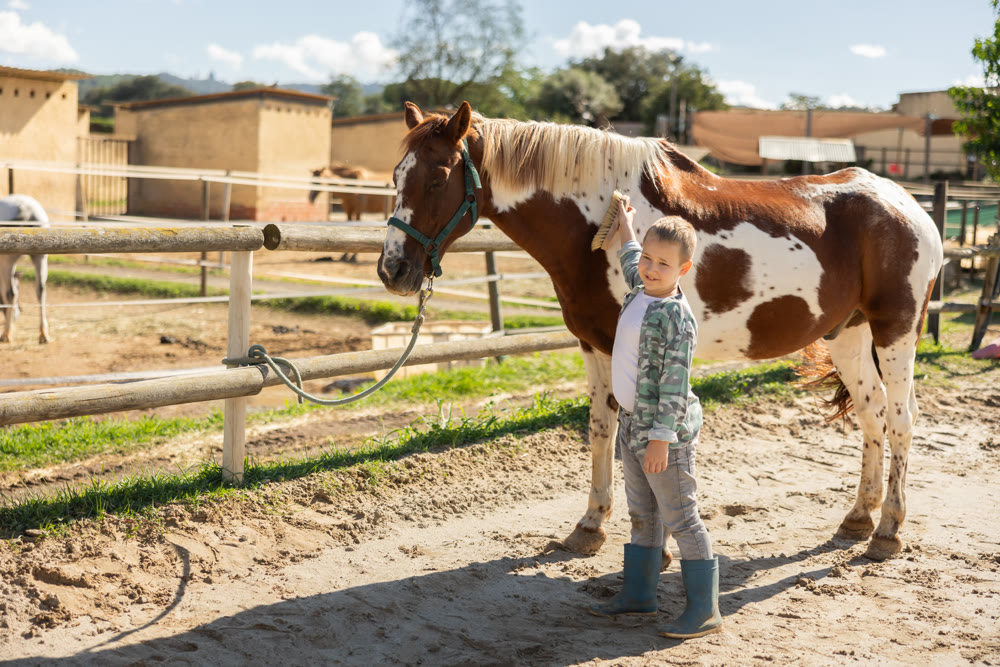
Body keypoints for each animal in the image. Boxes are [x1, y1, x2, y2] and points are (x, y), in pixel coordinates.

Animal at [0, 194, 52, 344]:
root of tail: (26, 208)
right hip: (40, 258)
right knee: (41, 290)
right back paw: (43, 334)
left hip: (7, 262)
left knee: (10, 293)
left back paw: (6, 333)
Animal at [377, 101, 943, 562]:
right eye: (396, 176)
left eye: (438, 178)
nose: (392, 271)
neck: (597, 219)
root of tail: (908, 205)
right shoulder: (595, 345)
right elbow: (602, 430)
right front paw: (590, 527)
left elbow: (648, 432)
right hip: (848, 335)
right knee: (871, 414)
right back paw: (858, 518)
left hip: (896, 331)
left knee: (900, 420)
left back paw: (887, 532)